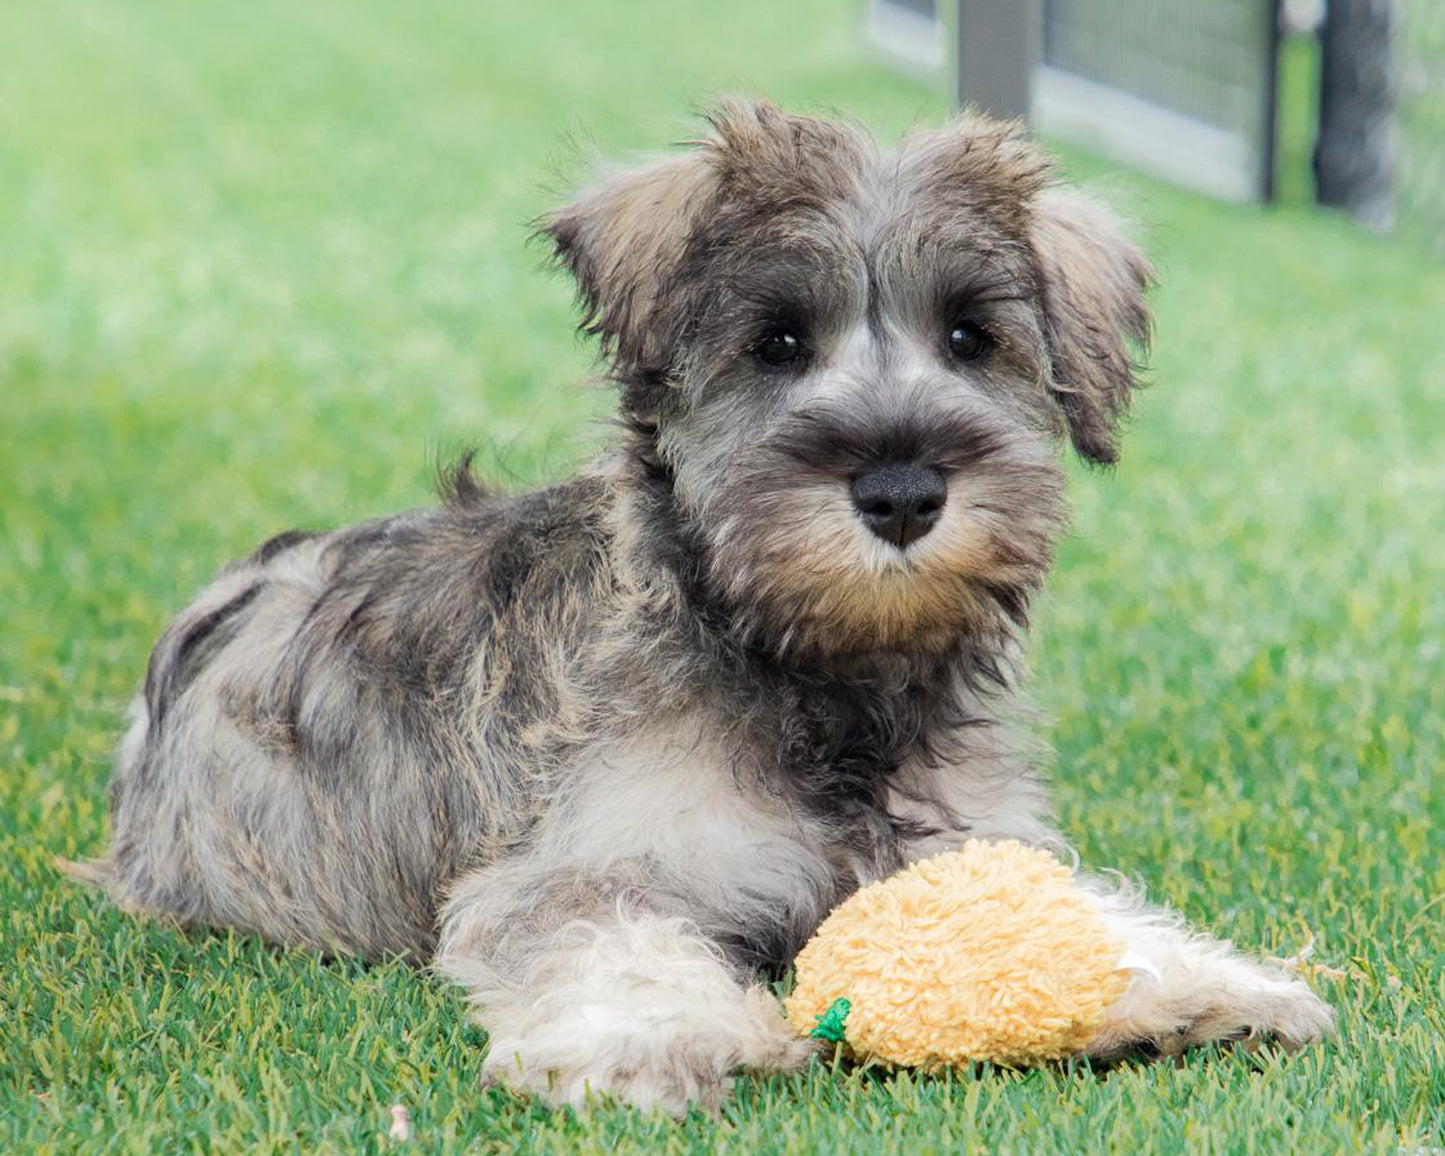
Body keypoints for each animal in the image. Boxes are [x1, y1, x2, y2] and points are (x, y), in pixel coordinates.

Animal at [70, 104, 1329, 1115]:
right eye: (776, 341)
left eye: (972, 336)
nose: (899, 488)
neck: (820, 679)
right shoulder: (579, 865)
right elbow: (607, 940)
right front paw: (668, 1036)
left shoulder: (963, 842)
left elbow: (1062, 912)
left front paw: (1202, 983)